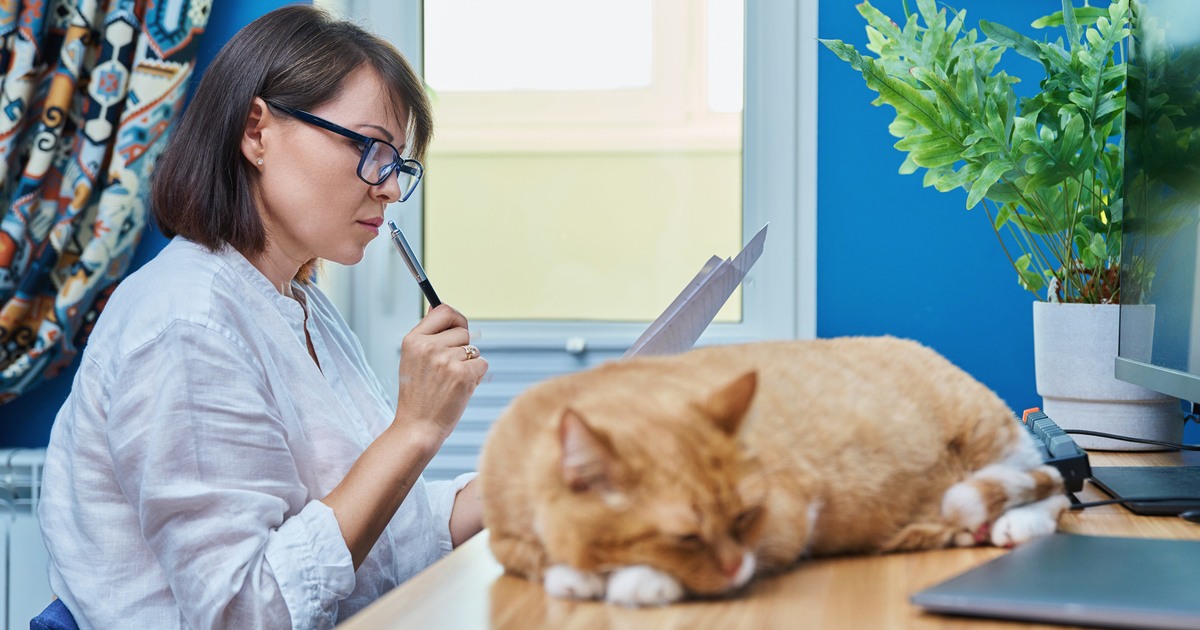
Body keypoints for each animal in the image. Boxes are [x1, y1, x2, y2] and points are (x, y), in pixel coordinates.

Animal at [477, 336, 1070, 607]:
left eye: (746, 517)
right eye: (687, 535)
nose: (737, 568)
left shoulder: (789, 515)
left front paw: (637, 580)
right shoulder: (505, 537)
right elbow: (535, 561)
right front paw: (576, 575)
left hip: (995, 440)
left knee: (1056, 494)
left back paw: (1013, 523)